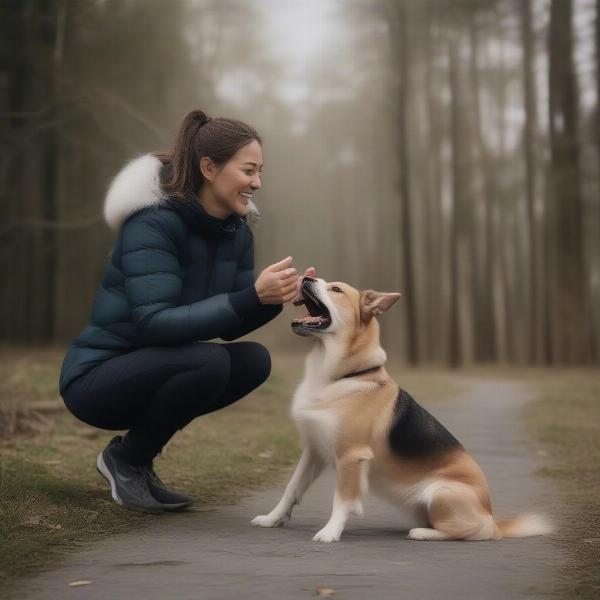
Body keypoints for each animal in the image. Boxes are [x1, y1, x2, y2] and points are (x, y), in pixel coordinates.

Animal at [250, 276, 552, 544]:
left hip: (440, 491)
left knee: (471, 532)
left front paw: (330, 532)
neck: (342, 375)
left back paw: (424, 534)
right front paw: (272, 519)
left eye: (336, 289)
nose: (306, 277)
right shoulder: (313, 452)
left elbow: (342, 500)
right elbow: (292, 488)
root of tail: (493, 519)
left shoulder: (350, 457)